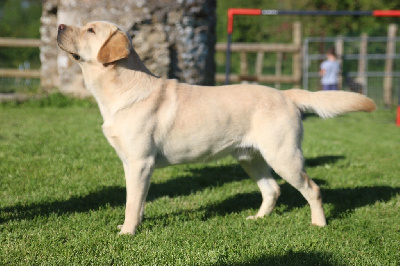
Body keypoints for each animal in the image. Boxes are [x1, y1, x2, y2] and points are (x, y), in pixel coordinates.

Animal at [57, 21, 376, 236]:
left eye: (90, 30)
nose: (59, 26)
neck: (122, 88)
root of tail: (286, 93)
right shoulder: (133, 164)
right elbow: (138, 201)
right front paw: (135, 224)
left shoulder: (140, 162)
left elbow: (131, 202)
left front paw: (127, 232)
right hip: (250, 158)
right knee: (272, 190)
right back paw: (258, 219)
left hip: (284, 157)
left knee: (313, 189)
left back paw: (318, 224)